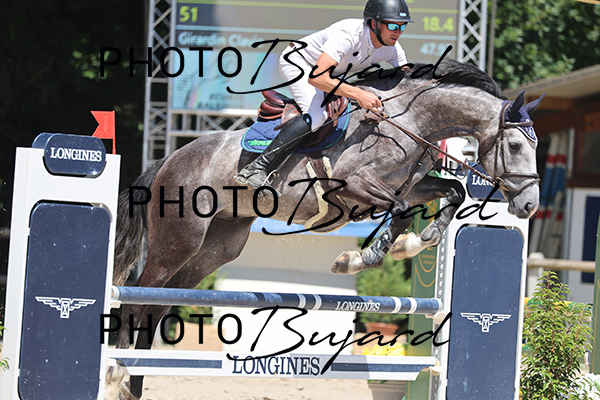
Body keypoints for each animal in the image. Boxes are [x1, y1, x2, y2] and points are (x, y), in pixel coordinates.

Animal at [109, 59, 543, 399]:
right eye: (516, 147)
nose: (528, 205)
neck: (410, 121)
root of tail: (169, 160)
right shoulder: (357, 186)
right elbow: (402, 210)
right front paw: (363, 257)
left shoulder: (411, 185)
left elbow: (453, 191)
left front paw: (417, 242)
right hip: (178, 241)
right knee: (135, 300)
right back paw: (116, 373)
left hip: (213, 251)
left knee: (156, 305)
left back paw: (135, 381)